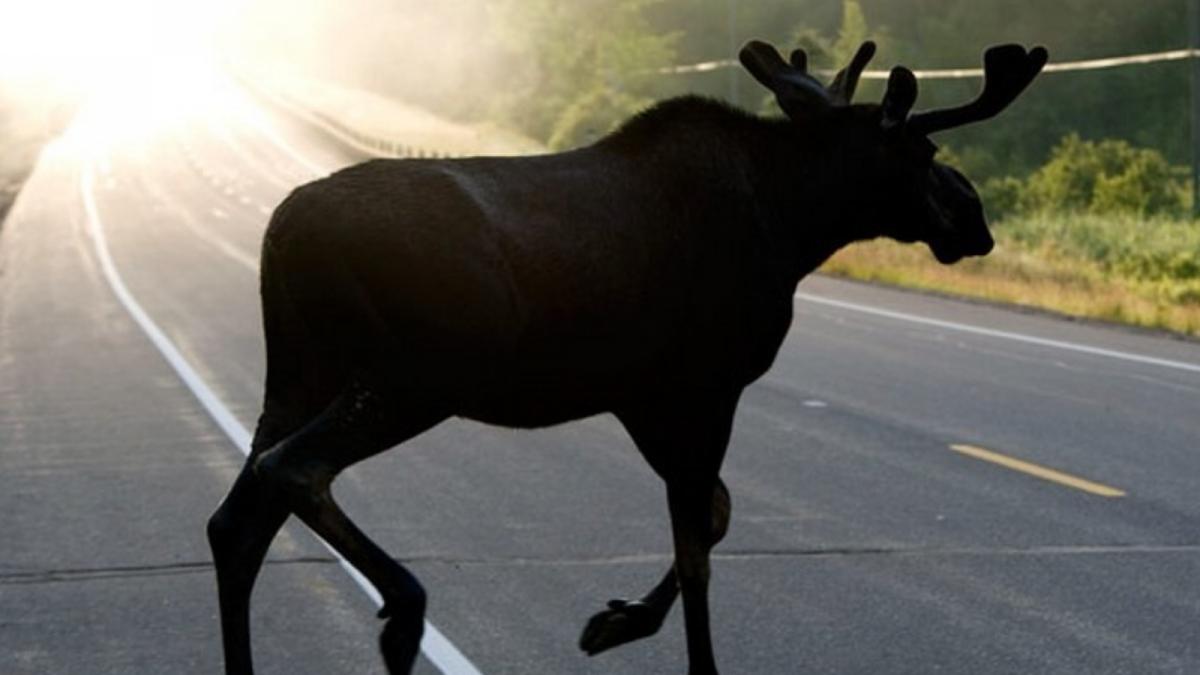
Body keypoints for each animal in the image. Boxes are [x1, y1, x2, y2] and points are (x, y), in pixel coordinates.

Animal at [206, 39, 1046, 674]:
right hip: (412, 376)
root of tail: (280, 231)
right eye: (925, 148)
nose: (973, 217)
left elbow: (715, 514)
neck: (797, 223)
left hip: (300, 373)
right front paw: (687, 655)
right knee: (293, 469)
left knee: (235, 522)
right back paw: (405, 610)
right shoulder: (703, 384)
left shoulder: (642, 395)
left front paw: (617, 619)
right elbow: (700, 543)